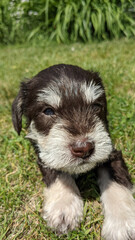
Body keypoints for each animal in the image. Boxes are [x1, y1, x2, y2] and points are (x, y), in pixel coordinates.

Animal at [11, 64, 135, 240]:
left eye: (96, 106)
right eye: (48, 111)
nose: (83, 149)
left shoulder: (111, 152)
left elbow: (115, 180)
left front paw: (122, 224)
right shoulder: (45, 153)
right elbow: (57, 172)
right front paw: (63, 209)